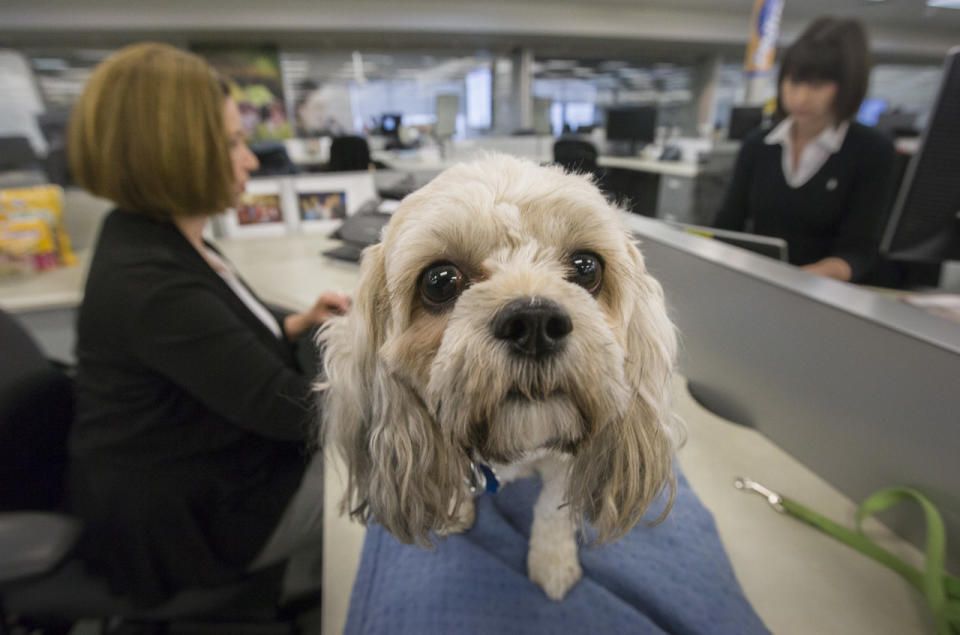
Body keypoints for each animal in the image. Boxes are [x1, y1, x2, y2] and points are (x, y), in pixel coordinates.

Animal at [322, 154, 684, 600]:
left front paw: (552, 562)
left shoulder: (564, 467)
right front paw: (457, 509)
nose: (535, 322)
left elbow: (552, 512)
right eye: (439, 280)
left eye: (586, 267)